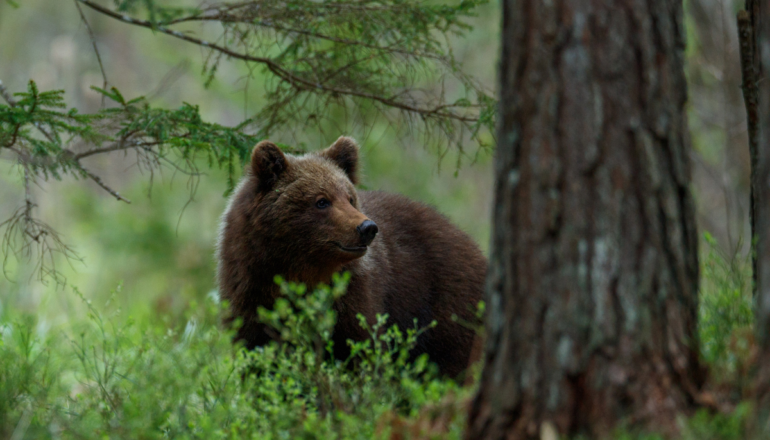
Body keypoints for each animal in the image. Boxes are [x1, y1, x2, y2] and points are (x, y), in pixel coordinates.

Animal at [213, 136, 484, 376]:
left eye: (350, 198)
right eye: (322, 201)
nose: (367, 228)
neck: (298, 269)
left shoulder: (354, 296)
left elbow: (361, 350)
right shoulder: (249, 289)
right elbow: (257, 352)